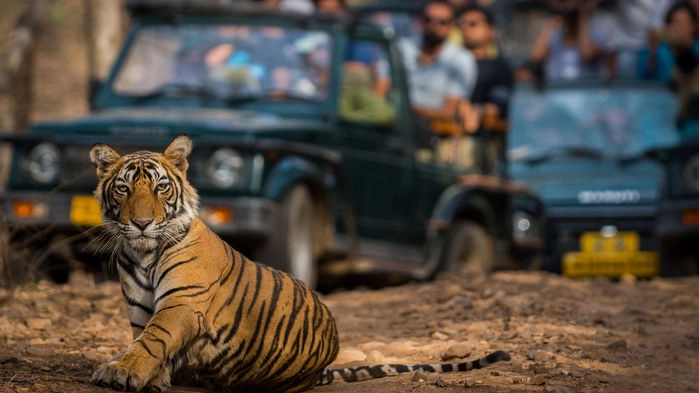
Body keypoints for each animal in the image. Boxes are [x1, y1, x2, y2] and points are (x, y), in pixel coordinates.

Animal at [90, 135, 512, 392]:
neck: (143, 254)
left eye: (161, 188)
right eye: (123, 189)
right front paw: (147, 376)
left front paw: (120, 371)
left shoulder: (182, 302)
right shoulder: (140, 308)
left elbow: (152, 340)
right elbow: (144, 340)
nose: (141, 223)